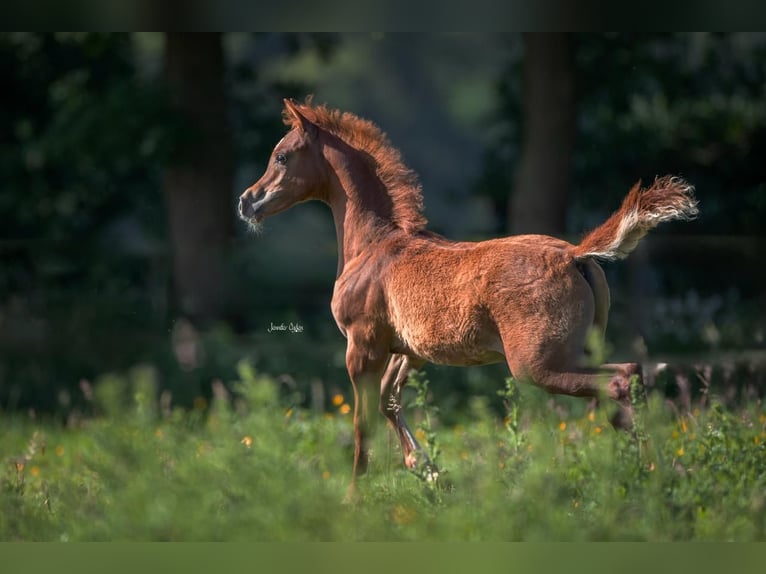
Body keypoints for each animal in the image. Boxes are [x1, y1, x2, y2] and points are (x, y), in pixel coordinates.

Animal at [240, 97, 704, 498]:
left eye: (281, 156)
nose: (247, 201)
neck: (374, 246)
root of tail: (575, 254)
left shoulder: (362, 346)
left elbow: (363, 423)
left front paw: (354, 498)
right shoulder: (410, 350)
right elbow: (391, 401)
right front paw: (427, 470)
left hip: (536, 364)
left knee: (618, 380)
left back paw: (649, 474)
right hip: (578, 350)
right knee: (629, 376)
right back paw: (654, 472)